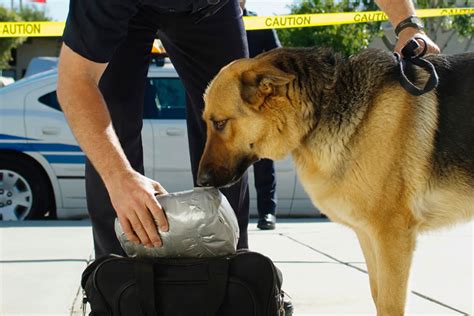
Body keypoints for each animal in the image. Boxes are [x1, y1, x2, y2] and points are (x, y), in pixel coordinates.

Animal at [197, 47, 474, 316]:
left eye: (219, 123)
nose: (200, 181)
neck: (323, 107)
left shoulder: (392, 236)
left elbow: (389, 304)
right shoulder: (368, 235)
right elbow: (377, 295)